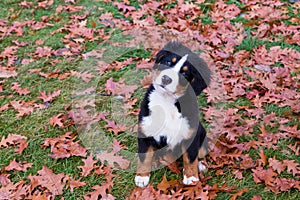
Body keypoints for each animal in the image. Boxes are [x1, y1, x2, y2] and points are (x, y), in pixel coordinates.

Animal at [136, 41, 211, 188]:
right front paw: (142, 177)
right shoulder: (145, 131)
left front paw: (191, 177)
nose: (166, 79)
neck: (167, 101)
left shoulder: (190, 135)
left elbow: (190, 158)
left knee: (200, 154)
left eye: (185, 73)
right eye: (168, 62)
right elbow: (144, 157)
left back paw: (201, 165)